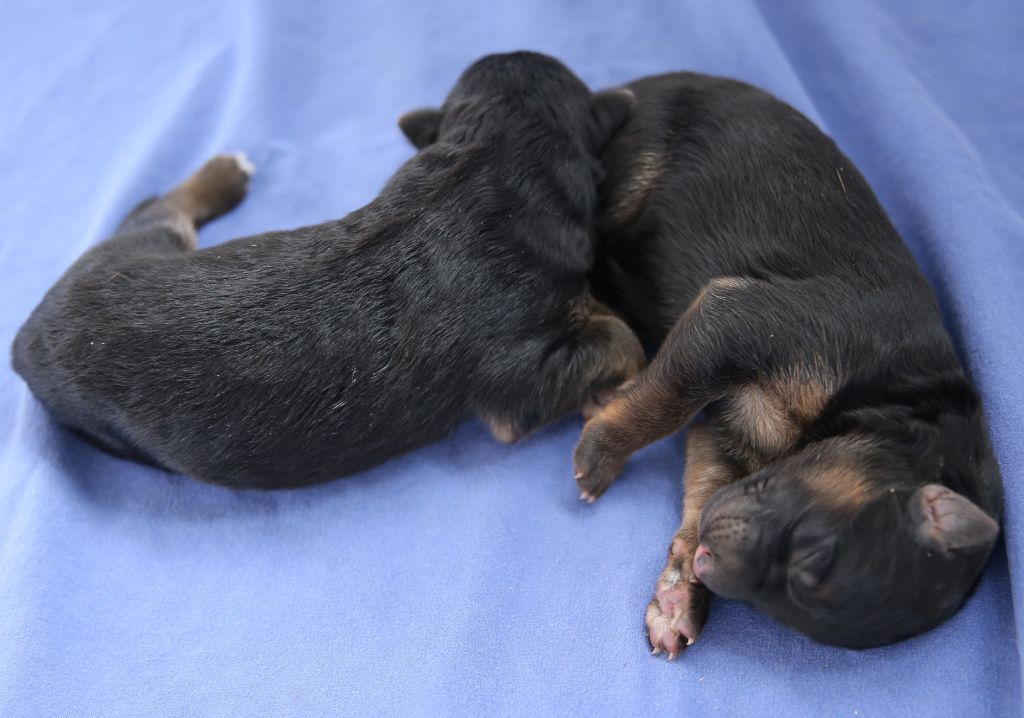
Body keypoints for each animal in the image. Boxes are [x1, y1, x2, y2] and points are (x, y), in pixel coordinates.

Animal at [14, 50, 638, 487]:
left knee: (158, 206)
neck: (488, 161)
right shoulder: (521, 380)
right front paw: (613, 380)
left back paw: (227, 171)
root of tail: (28, 329)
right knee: (161, 206)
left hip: (140, 246)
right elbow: (618, 339)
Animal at [573, 72, 1003, 655]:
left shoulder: (728, 445)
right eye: (811, 550)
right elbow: (662, 403)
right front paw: (599, 455)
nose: (708, 569)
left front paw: (681, 596)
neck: (893, 398)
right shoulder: (734, 321)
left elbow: (700, 495)